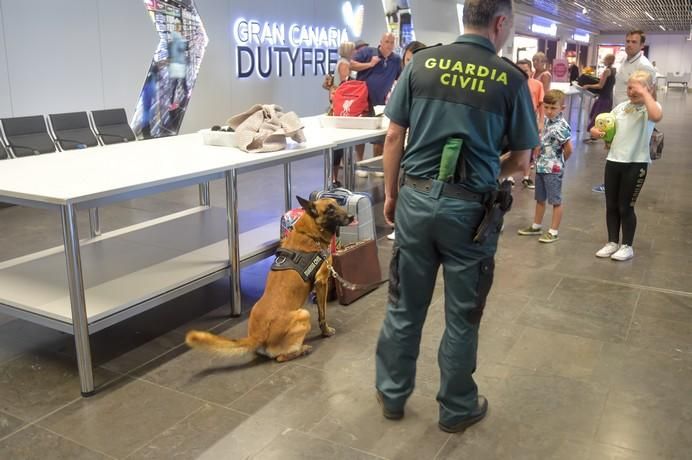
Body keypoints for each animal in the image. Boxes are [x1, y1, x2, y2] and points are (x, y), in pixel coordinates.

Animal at [185, 196, 352, 362]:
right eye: (330, 209)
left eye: (337, 204)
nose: (351, 217)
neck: (310, 233)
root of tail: (257, 336)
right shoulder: (321, 282)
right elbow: (322, 314)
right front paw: (326, 331)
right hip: (304, 314)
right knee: (280, 357)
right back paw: (303, 349)